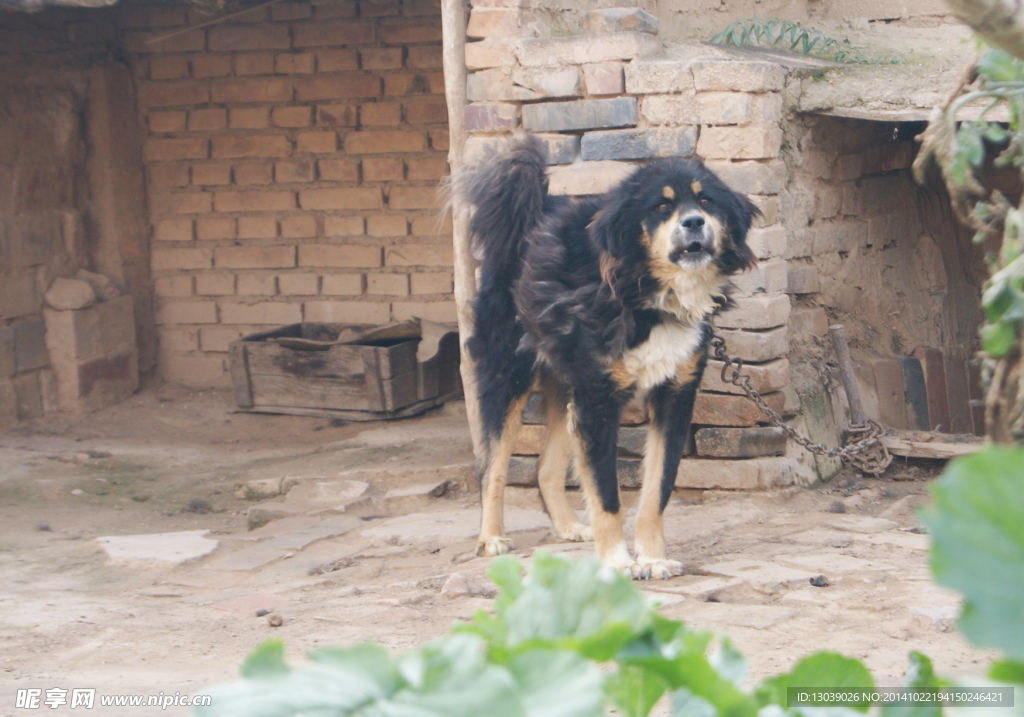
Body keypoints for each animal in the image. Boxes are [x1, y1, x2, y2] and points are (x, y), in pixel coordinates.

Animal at [460, 134, 757, 581]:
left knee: (545, 469)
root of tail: (534, 208)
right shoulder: (598, 401)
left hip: (566, 388)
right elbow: (606, 495)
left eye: (706, 201)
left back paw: (567, 527)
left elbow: (656, 493)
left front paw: (652, 558)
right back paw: (491, 537)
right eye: (661, 207)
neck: (648, 295)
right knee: (491, 466)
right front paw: (618, 562)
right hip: (508, 377)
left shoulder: (674, 396)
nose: (693, 223)